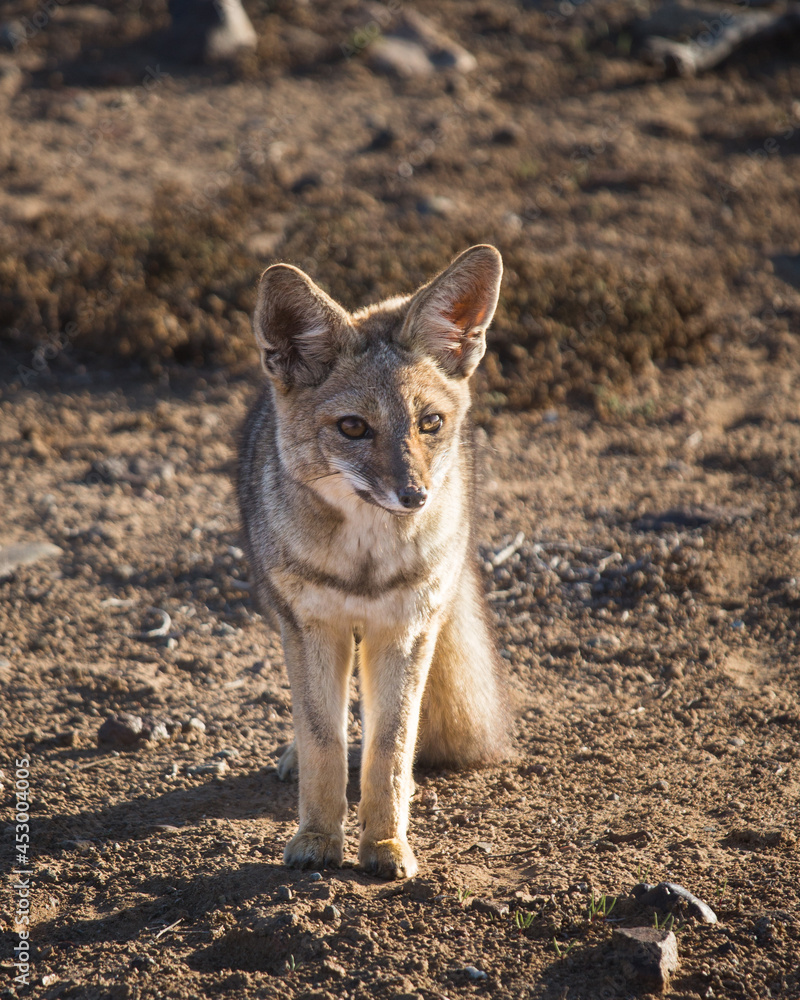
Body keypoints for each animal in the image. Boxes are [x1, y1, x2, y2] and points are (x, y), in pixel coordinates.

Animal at [237, 244, 510, 879]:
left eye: (429, 423)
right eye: (353, 428)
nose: (414, 496)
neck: (364, 567)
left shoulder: (406, 629)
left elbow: (391, 745)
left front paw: (386, 843)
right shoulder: (313, 626)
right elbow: (324, 740)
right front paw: (317, 836)